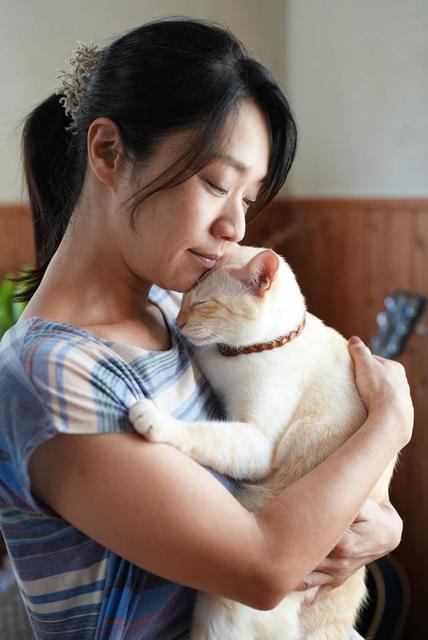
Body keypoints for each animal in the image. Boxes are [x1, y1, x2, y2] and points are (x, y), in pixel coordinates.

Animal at [129, 246, 396, 640]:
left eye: (203, 302)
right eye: (184, 298)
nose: (178, 322)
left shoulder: (257, 441)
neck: (238, 354)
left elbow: (204, 432)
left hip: (222, 608)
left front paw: (152, 419)